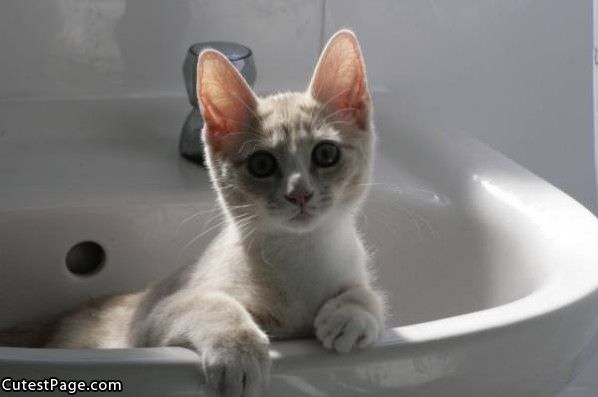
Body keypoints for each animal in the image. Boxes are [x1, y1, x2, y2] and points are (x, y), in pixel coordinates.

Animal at [1, 30, 384, 396]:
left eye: (326, 154)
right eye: (261, 164)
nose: (299, 194)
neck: (299, 256)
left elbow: (371, 294)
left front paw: (354, 312)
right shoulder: (154, 318)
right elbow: (212, 304)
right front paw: (240, 351)